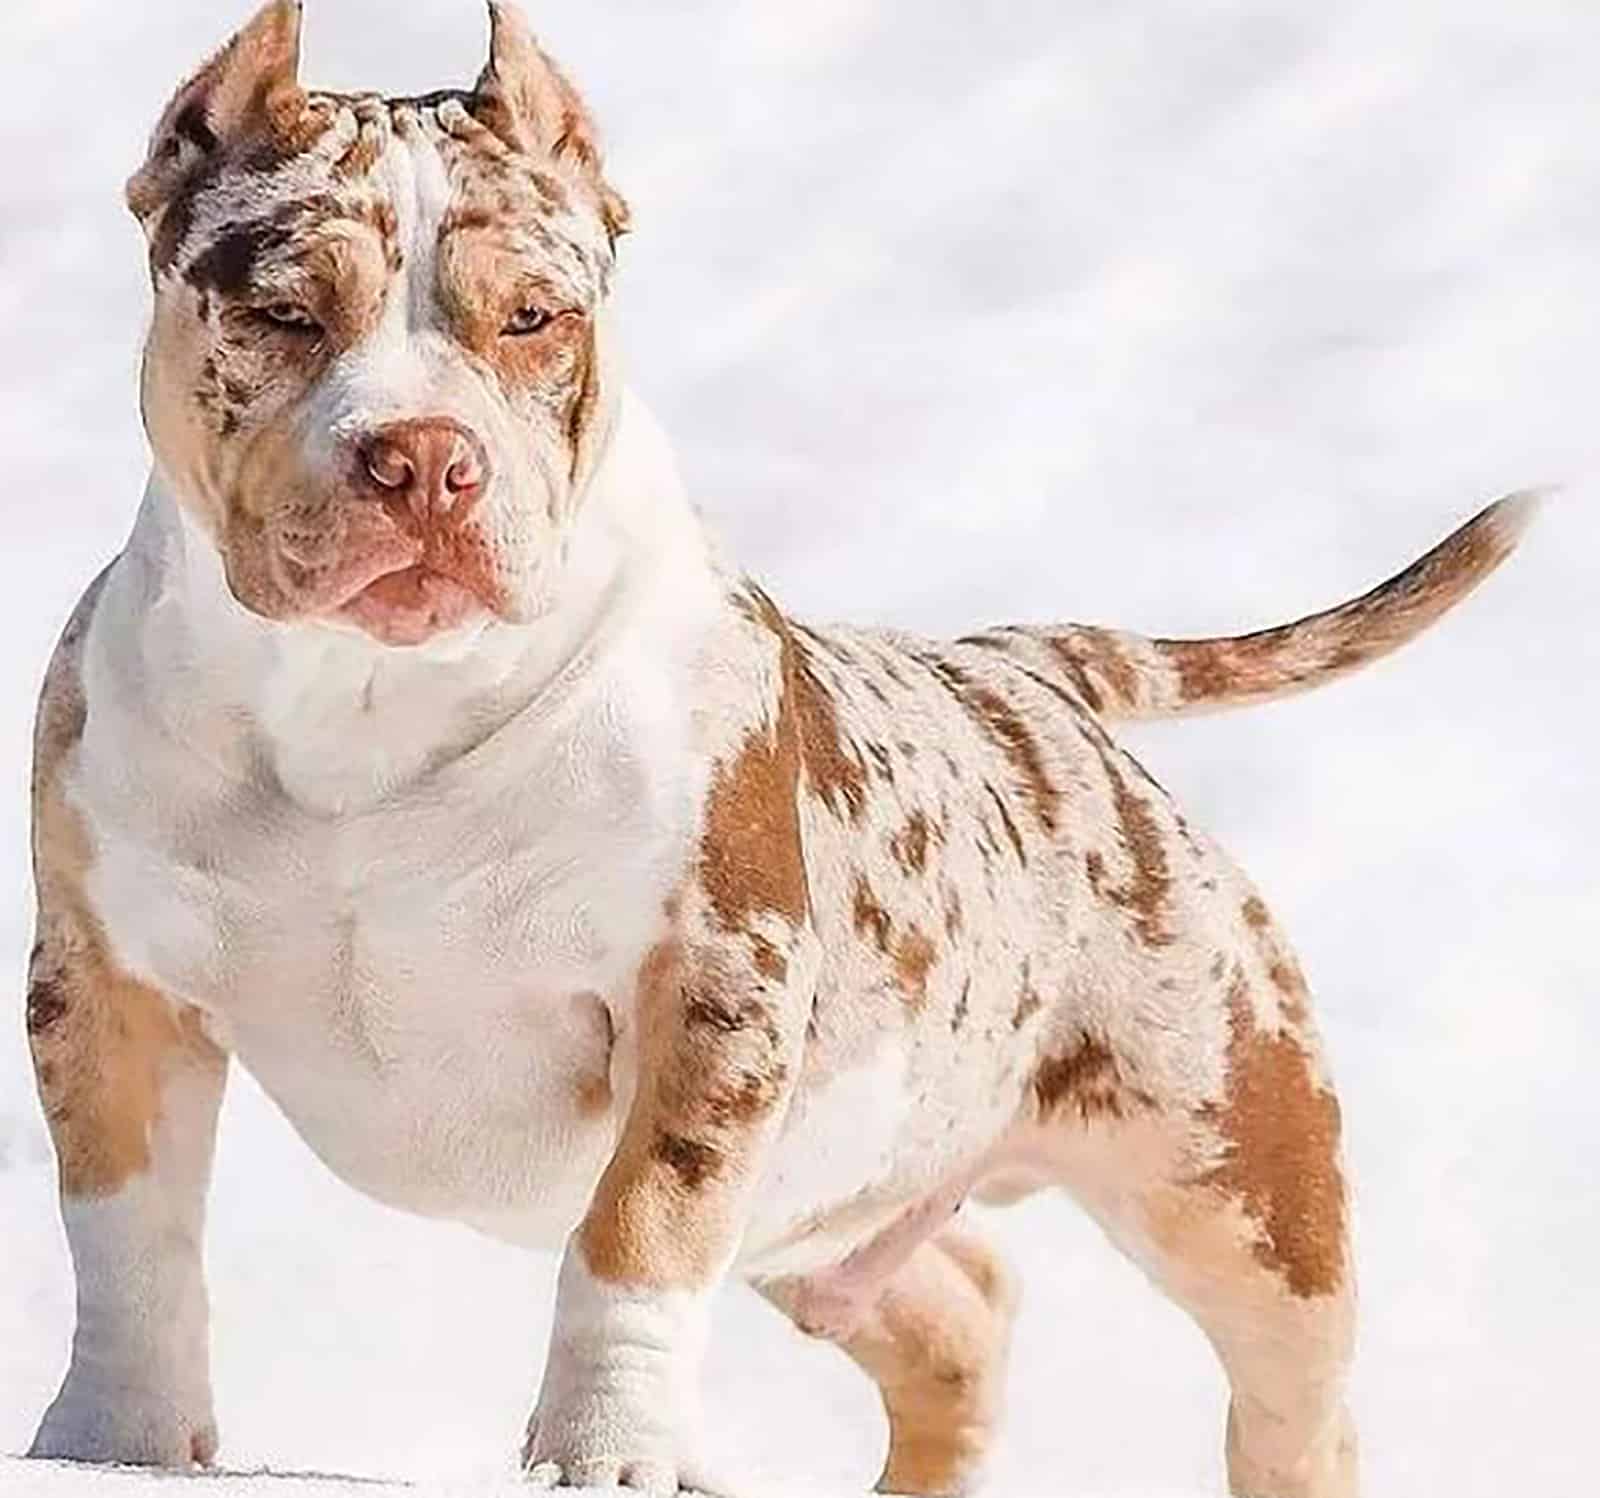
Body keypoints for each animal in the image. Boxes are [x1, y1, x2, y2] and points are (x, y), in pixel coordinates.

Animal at [18, 5, 1529, 1491]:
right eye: (282, 312)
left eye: (534, 317)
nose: (426, 459)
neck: (368, 709)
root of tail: (1029, 671)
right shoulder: (101, 987)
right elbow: (127, 1233)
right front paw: (111, 1440)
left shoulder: (715, 989)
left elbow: (635, 1235)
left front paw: (610, 1455)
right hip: (842, 1198)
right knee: (961, 1309)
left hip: (1238, 1163)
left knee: (1292, 1394)